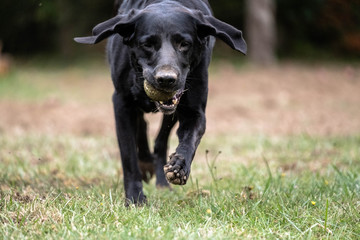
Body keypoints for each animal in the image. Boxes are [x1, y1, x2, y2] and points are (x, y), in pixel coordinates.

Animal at [74, 0, 246, 205]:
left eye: (184, 44)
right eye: (147, 44)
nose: (166, 79)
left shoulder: (194, 111)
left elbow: (190, 139)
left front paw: (179, 166)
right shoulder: (122, 103)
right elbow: (128, 154)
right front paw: (135, 197)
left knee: (160, 140)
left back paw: (162, 181)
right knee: (142, 127)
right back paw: (146, 164)